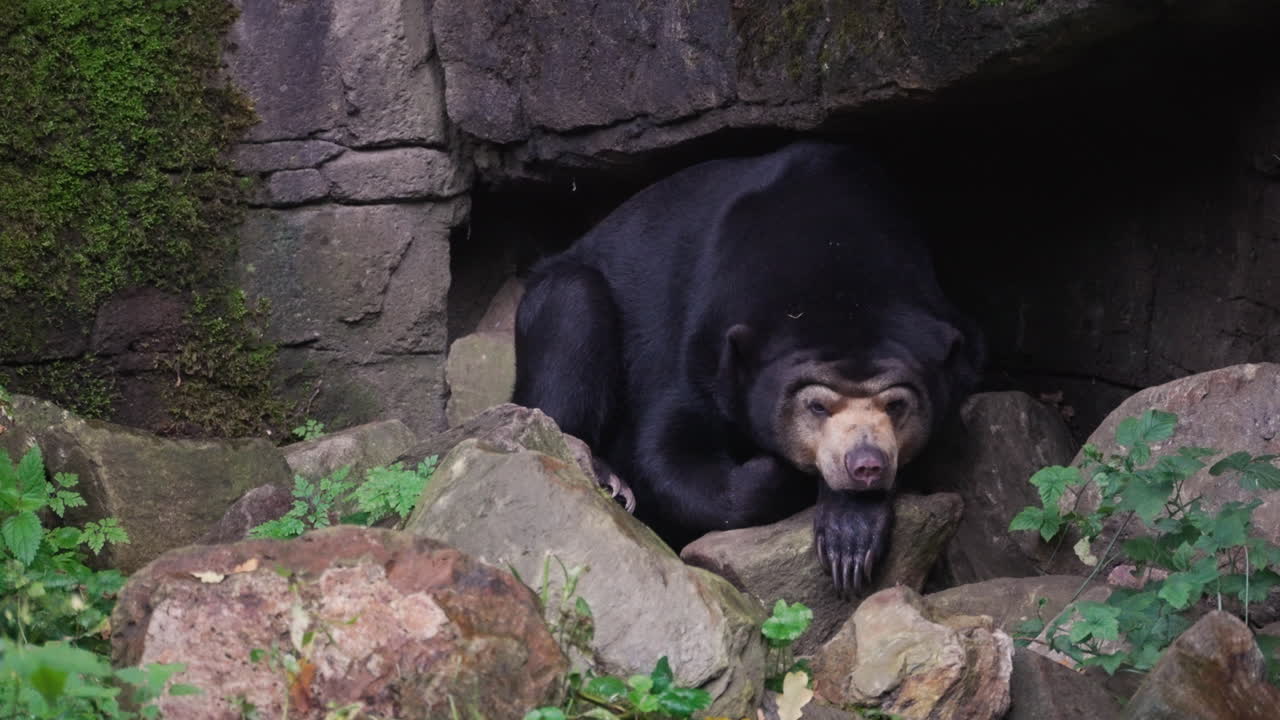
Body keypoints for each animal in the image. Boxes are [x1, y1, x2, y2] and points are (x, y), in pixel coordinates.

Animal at [512, 141, 984, 596]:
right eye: (816, 407)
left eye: (896, 406)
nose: (866, 465)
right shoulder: (699, 340)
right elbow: (666, 451)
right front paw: (777, 471)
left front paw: (849, 538)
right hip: (556, 297)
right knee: (573, 312)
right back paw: (607, 478)